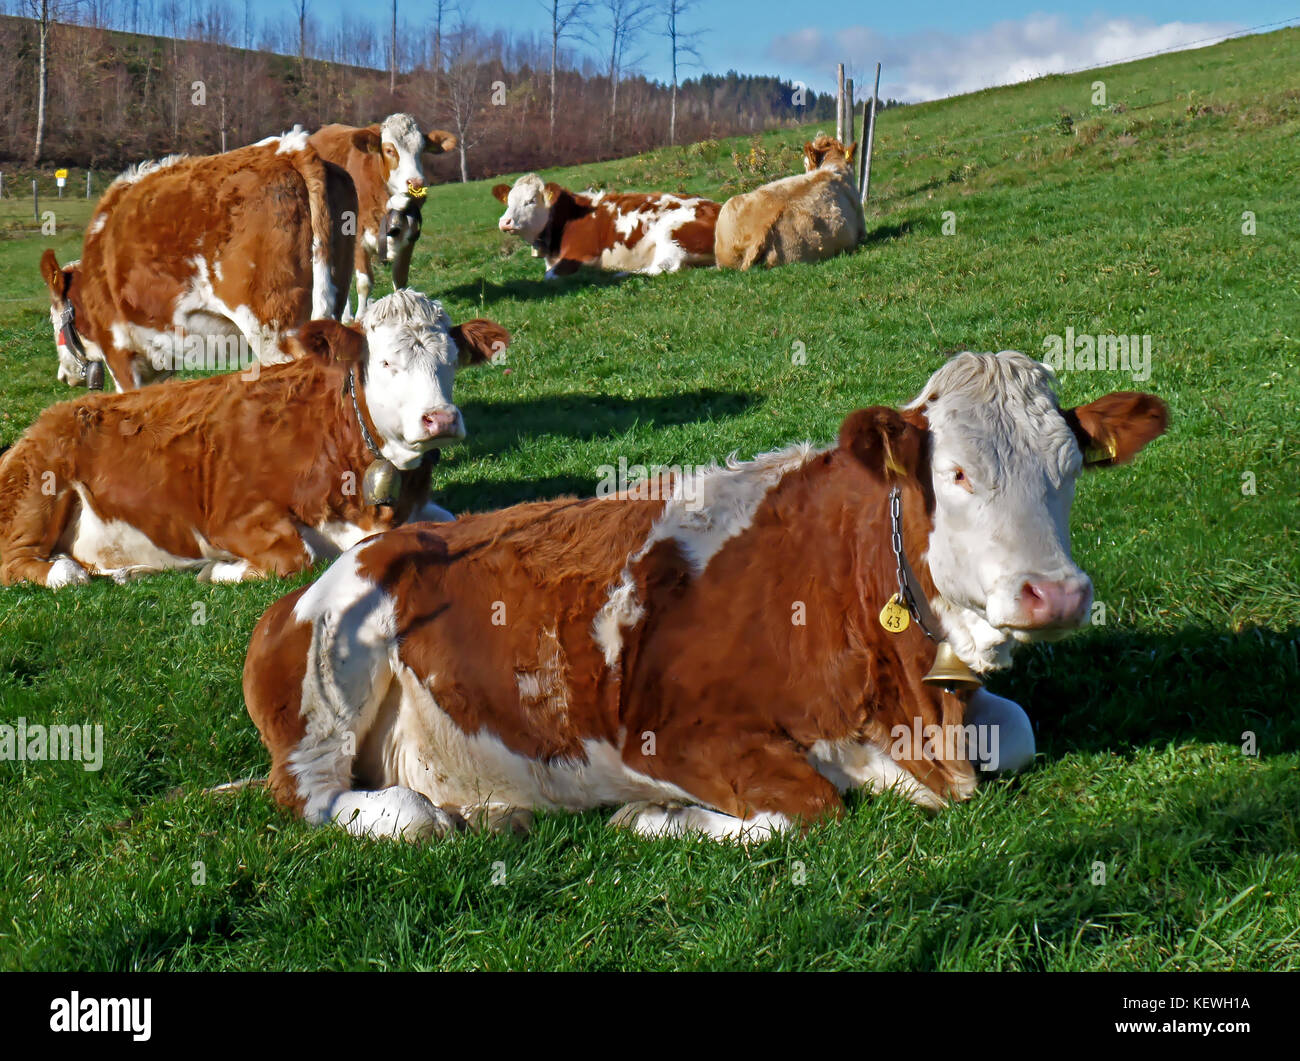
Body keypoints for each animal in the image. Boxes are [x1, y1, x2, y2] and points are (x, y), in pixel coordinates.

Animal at [0, 291, 508, 589]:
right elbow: (297, 556)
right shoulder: (230, 516)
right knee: (19, 561)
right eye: (384, 362)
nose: (440, 419)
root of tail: (48, 418)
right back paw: (68, 570)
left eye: (451, 358)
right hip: (35, 493)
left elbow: (460, 520)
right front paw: (222, 569)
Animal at [242, 351, 1167, 843]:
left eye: (1070, 467)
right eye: (959, 473)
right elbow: (811, 805)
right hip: (330, 686)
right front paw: (655, 820)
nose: (1055, 593)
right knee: (331, 798)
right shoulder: (664, 730)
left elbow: (1021, 731)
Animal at [309, 115, 458, 320]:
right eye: (389, 150)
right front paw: (361, 316)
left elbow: (400, 279)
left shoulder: (409, 238)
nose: (416, 183)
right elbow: (364, 282)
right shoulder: (357, 238)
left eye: (421, 150)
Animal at [492, 173, 720, 278]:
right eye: (509, 201)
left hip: (670, 234)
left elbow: (549, 276)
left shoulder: (580, 254)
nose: (504, 222)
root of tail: (717, 206)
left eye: (530, 200)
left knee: (665, 267)